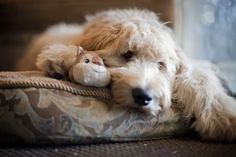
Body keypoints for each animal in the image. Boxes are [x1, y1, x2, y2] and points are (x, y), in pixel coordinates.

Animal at [17, 8, 236, 141]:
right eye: (128, 54)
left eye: (160, 65)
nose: (143, 96)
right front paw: (60, 57)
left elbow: (198, 77)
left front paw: (222, 114)